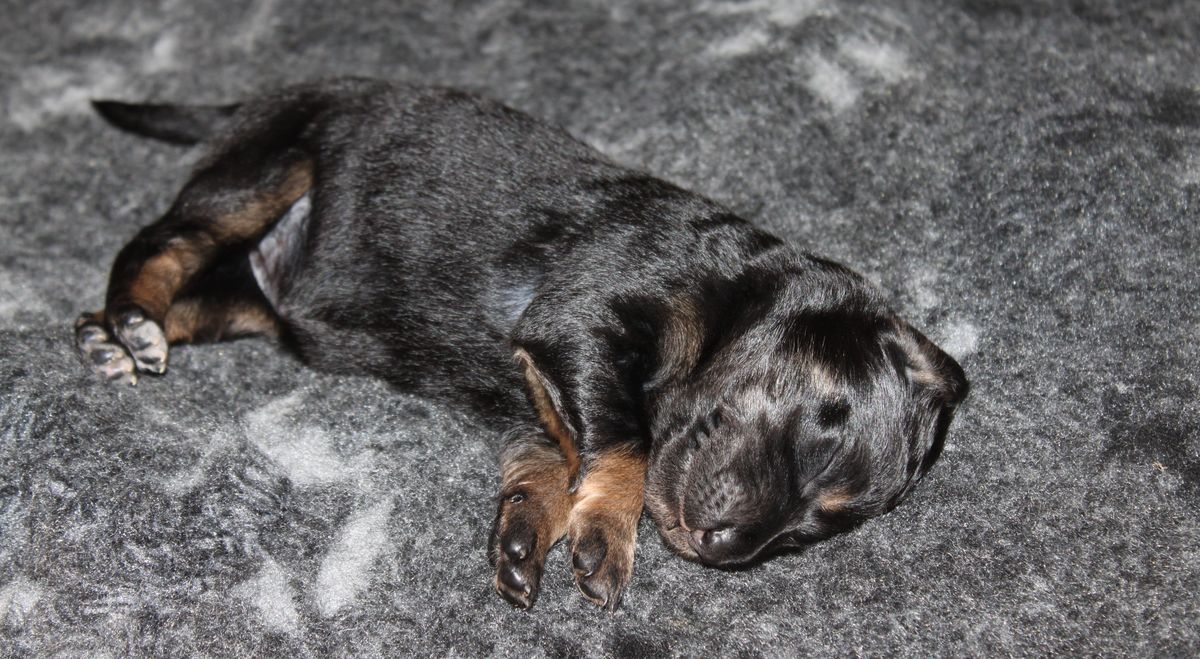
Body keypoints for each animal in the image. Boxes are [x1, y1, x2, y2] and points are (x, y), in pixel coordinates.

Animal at [76, 78, 968, 611]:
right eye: (819, 438)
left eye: (818, 528)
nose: (727, 549)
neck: (734, 296)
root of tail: (247, 104)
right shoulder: (583, 316)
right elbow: (629, 440)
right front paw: (606, 533)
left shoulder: (536, 385)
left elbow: (558, 450)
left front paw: (529, 528)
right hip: (272, 166)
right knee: (162, 241)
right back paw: (126, 322)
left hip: (245, 297)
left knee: (196, 291)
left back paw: (124, 332)